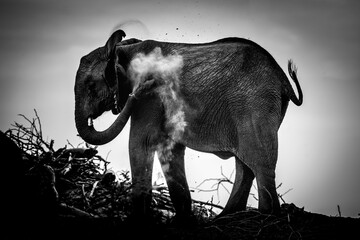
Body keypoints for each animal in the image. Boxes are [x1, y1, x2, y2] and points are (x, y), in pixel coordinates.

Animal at [74, 29, 304, 220]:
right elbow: (169, 148)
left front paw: (138, 220)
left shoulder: (150, 100)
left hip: (254, 102)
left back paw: (267, 216)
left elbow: (142, 142)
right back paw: (227, 218)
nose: (146, 85)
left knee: (259, 160)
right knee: (246, 164)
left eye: (91, 86)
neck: (125, 48)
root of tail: (283, 78)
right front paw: (182, 221)